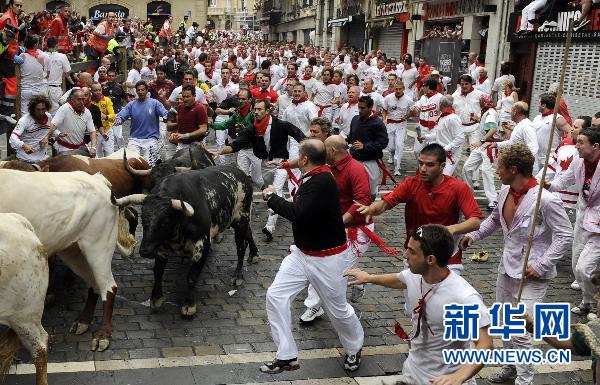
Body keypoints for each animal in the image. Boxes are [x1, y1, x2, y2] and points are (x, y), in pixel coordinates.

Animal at [115, 166, 258, 316]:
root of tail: (239, 172)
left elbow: (191, 276)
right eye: (143, 219)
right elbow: (158, 272)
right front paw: (156, 299)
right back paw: (254, 254)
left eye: (165, 221)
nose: (145, 251)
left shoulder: (203, 245)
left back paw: (237, 276)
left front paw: (189, 305)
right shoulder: (161, 248)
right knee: (249, 233)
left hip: (242, 219)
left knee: (241, 248)